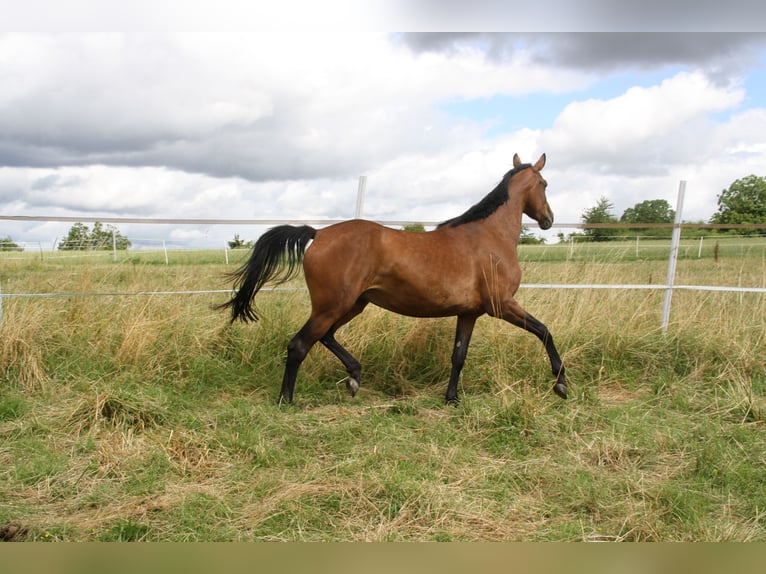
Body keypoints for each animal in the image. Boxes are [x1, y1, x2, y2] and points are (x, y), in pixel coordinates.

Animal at [219, 153, 568, 404]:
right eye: (545, 183)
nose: (549, 219)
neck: (488, 236)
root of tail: (318, 233)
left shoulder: (469, 313)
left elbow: (458, 356)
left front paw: (451, 399)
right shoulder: (502, 305)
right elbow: (545, 332)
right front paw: (561, 384)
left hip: (352, 304)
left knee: (325, 336)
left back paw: (354, 376)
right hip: (333, 305)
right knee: (299, 345)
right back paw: (287, 400)